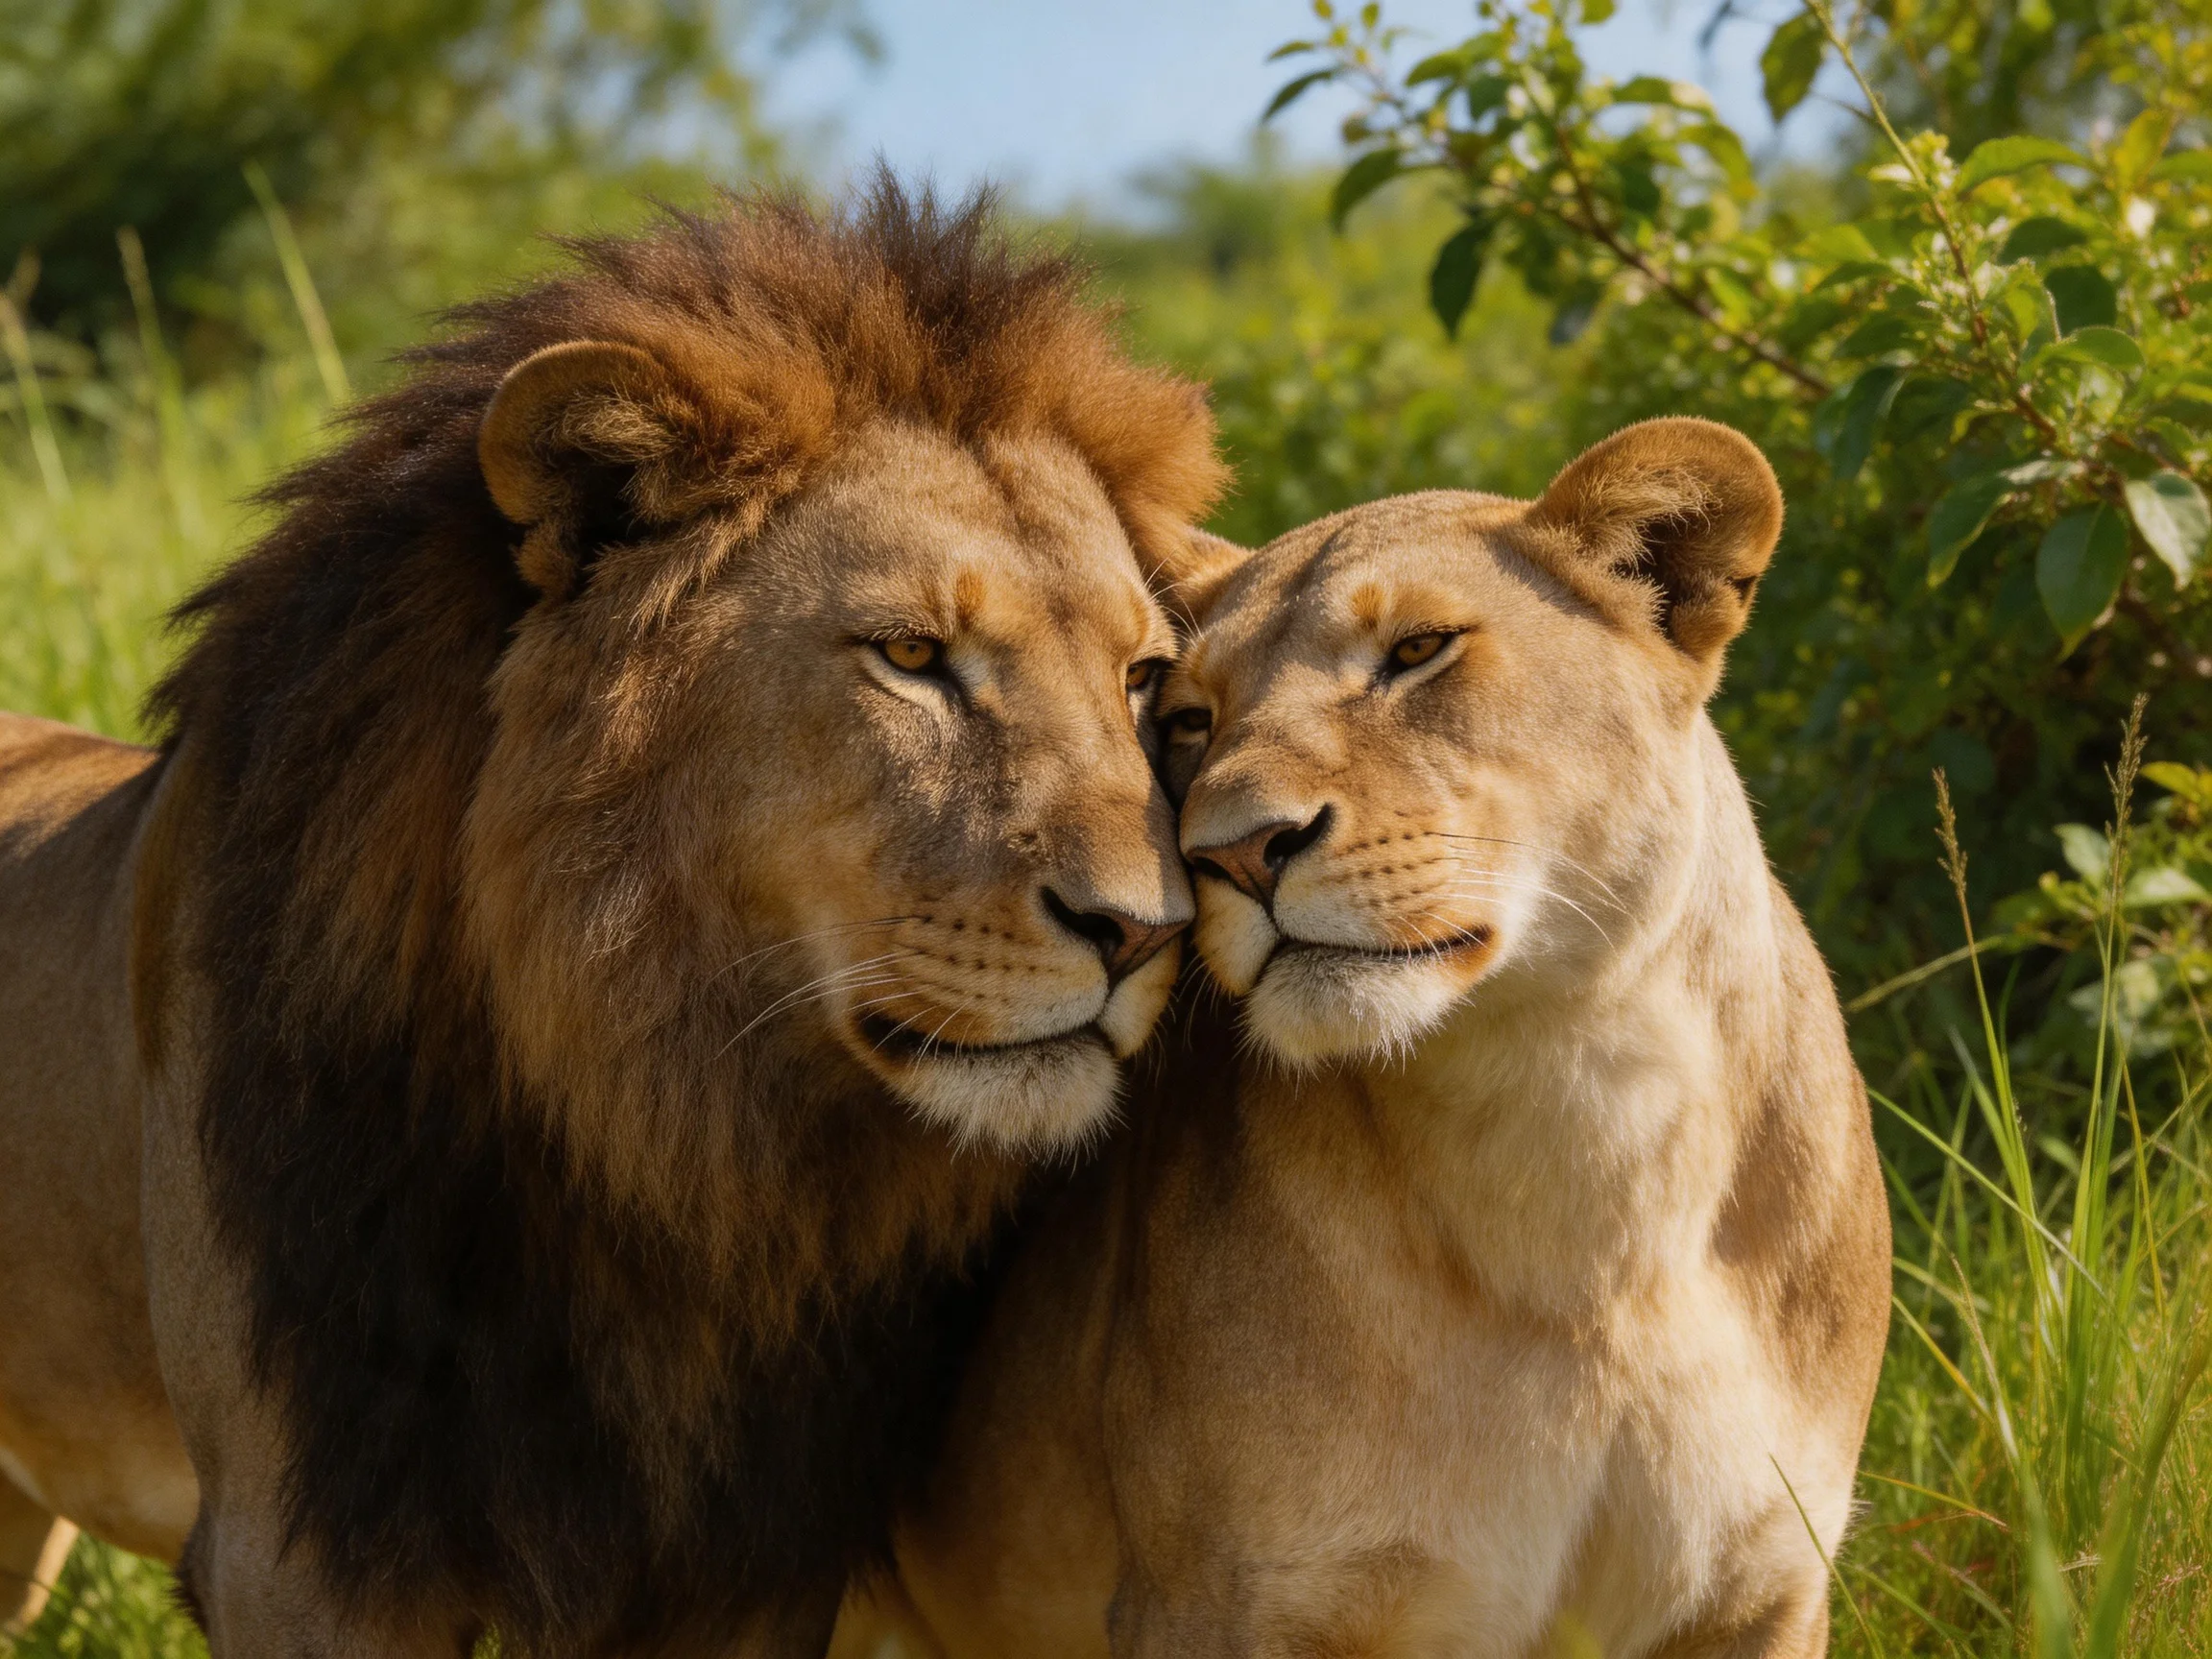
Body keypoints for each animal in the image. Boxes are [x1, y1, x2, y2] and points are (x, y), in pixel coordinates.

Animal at [0, 176, 1237, 1655]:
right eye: (912, 656)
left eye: (1142, 678)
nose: (1149, 931)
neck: (649, 1124)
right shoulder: (301, 1546)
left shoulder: (744, 1560)